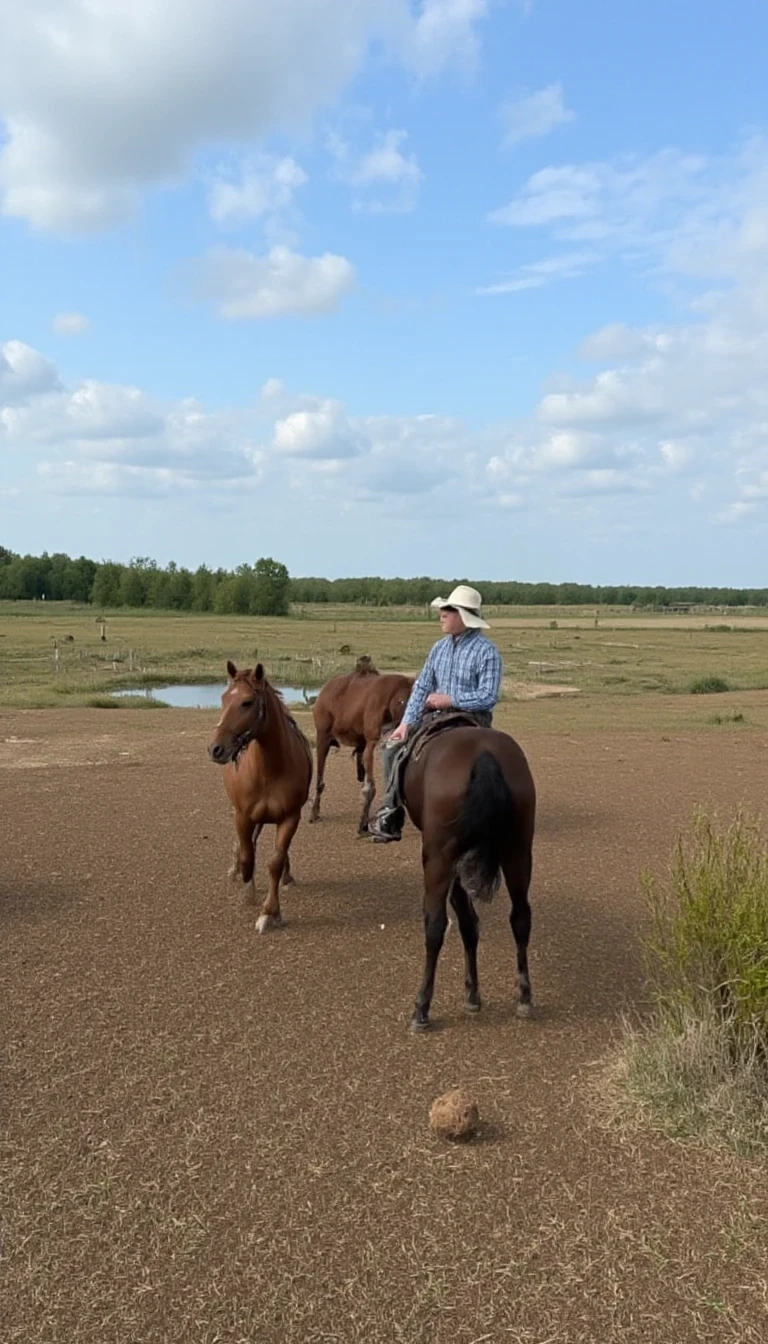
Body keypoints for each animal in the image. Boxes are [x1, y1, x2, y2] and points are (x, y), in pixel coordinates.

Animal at [208, 661, 313, 935]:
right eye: (223, 698)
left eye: (247, 702)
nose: (215, 749)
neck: (268, 772)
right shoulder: (243, 816)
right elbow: (248, 855)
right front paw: (246, 884)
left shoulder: (290, 818)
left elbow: (275, 862)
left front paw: (269, 912)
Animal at [309, 655, 414, 833]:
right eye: (402, 702)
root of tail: (325, 690)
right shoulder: (371, 741)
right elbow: (370, 787)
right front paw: (363, 823)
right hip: (323, 735)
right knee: (320, 778)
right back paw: (314, 812)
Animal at [400, 725, 538, 1026]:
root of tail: (483, 753)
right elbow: (469, 922)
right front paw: (473, 994)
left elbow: (461, 919)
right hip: (518, 852)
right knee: (521, 917)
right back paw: (524, 997)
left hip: (438, 859)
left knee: (435, 925)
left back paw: (421, 1007)